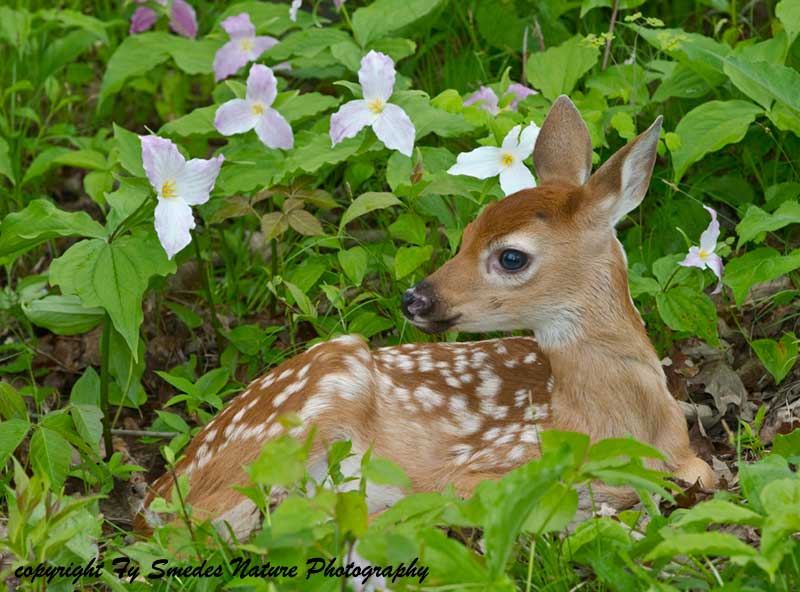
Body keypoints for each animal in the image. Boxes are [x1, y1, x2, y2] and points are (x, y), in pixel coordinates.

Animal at [134, 95, 714, 543]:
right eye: (468, 231)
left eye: (510, 256)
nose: (414, 298)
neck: (616, 425)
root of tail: (150, 506)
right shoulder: (481, 470)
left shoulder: (695, 464)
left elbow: (699, 477)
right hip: (325, 382)